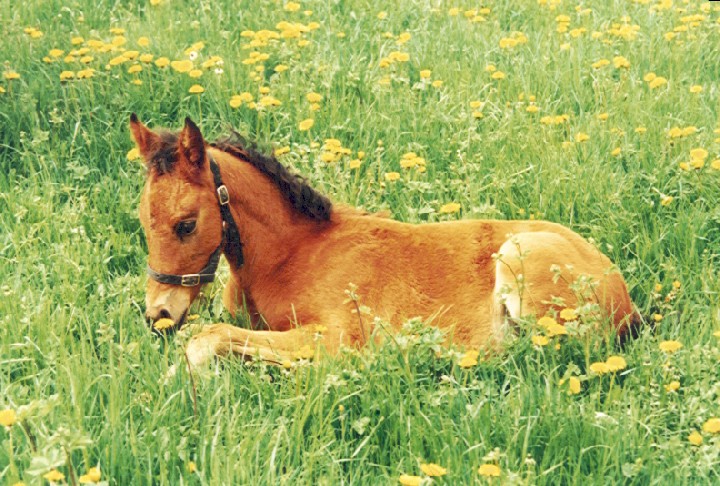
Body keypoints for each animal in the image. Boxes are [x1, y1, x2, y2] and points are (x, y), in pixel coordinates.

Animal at [132, 116, 640, 366]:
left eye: (186, 224)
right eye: (142, 219)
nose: (158, 315)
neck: (291, 254)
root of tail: (624, 298)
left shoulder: (335, 336)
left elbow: (206, 339)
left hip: (521, 263)